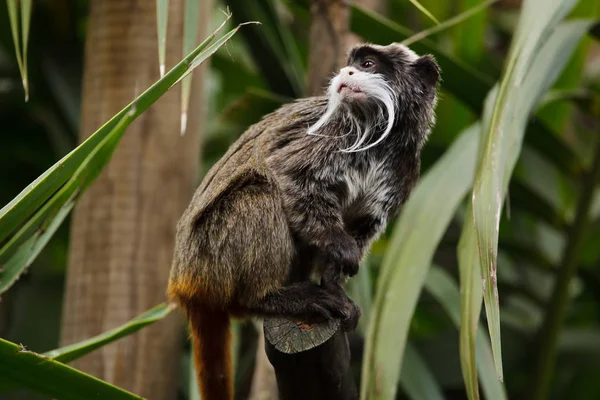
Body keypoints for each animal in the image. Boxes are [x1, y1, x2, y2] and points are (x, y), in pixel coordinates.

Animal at [169, 42, 440, 398]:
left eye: (367, 64)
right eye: (353, 64)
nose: (346, 72)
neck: (383, 139)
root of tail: (185, 281)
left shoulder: (403, 171)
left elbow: (364, 226)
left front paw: (336, 286)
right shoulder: (331, 135)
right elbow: (289, 177)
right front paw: (340, 248)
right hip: (210, 252)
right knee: (260, 193)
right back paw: (269, 298)